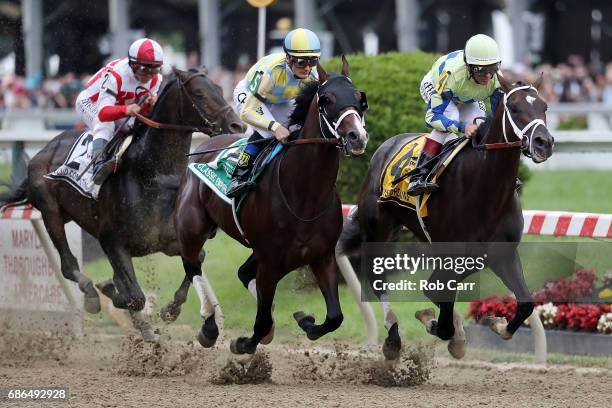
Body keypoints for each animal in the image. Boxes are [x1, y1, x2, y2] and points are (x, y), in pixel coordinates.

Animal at [0, 69, 244, 342]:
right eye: (199, 93)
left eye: (220, 89)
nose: (237, 125)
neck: (155, 174)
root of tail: (43, 151)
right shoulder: (112, 241)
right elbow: (134, 296)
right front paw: (109, 291)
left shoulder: (170, 241)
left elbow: (195, 261)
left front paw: (170, 310)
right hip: (51, 213)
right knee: (68, 265)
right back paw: (93, 296)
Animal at [167, 57, 368, 354]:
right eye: (327, 99)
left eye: (359, 98)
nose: (357, 137)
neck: (306, 195)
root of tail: (205, 146)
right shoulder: (271, 261)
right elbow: (260, 322)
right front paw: (243, 343)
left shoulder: (322, 257)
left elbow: (334, 317)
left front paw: (305, 320)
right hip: (193, 227)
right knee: (193, 266)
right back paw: (209, 326)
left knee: (241, 273)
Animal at [334, 75, 556, 358]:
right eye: (514, 108)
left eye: (544, 106)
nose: (543, 142)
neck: (487, 187)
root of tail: (384, 148)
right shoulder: (454, 253)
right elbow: (441, 312)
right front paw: (436, 323)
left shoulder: (500, 253)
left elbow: (526, 302)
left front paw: (496, 324)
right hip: (378, 231)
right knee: (378, 279)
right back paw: (393, 336)